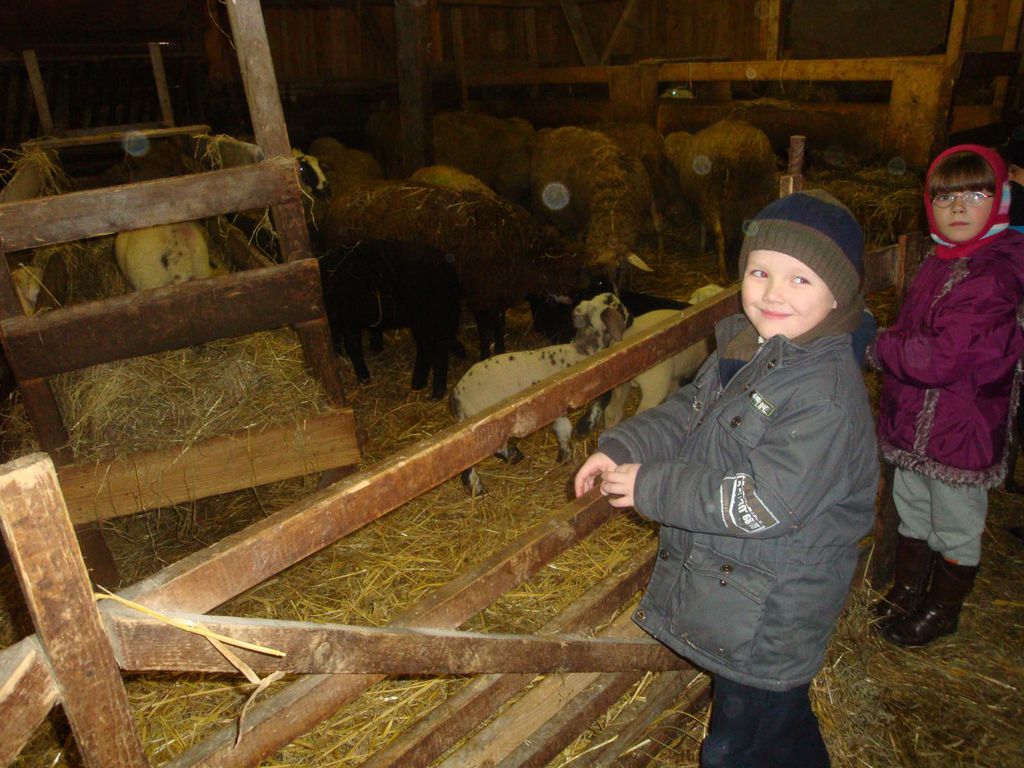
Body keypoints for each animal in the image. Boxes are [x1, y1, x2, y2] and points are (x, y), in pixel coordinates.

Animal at [318, 240, 462, 399]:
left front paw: (363, 377)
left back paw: (425, 387)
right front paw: (374, 349)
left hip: (428, 317)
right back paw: (429, 389)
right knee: (435, 348)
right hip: (438, 319)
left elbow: (353, 346)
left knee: (431, 350)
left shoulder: (349, 318)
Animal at [449, 293, 630, 495]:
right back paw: (499, 468)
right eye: (620, 306)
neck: (583, 352)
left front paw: (564, 455)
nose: (630, 315)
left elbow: (563, 429)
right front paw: (583, 429)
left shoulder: (558, 407)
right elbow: (599, 403)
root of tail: (456, 395)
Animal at [664, 119, 778, 282]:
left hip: (712, 195)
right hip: (754, 199)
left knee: (719, 235)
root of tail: (742, 153)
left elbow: (705, 227)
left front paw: (703, 247)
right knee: (744, 233)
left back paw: (723, 275)